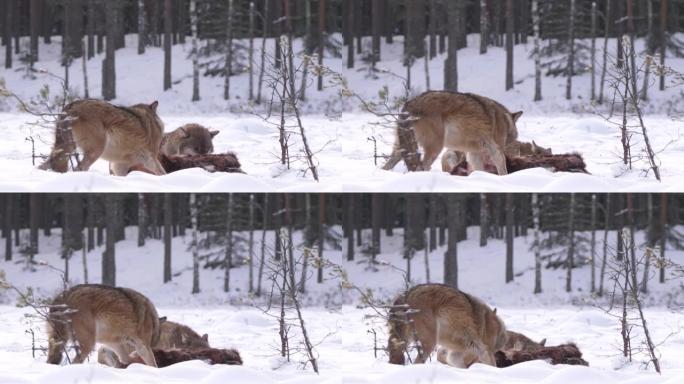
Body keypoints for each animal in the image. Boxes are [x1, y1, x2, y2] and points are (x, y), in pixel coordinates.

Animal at [37, 100, 166, 176]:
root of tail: (70, 107)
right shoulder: (150, 158)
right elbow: (162, 172)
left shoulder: (120, 163)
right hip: (96, 151)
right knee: (79, 169)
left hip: (64, 149)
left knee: (42, 166)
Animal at [382, 91, 520, 175]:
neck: (506, 121)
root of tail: (409, 105)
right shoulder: (495, 149)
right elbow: (502, 168)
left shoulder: (474, 153)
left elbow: (479, 170)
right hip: (435, 148)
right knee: (422, 167)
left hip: (401, 149)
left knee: (387, 166)